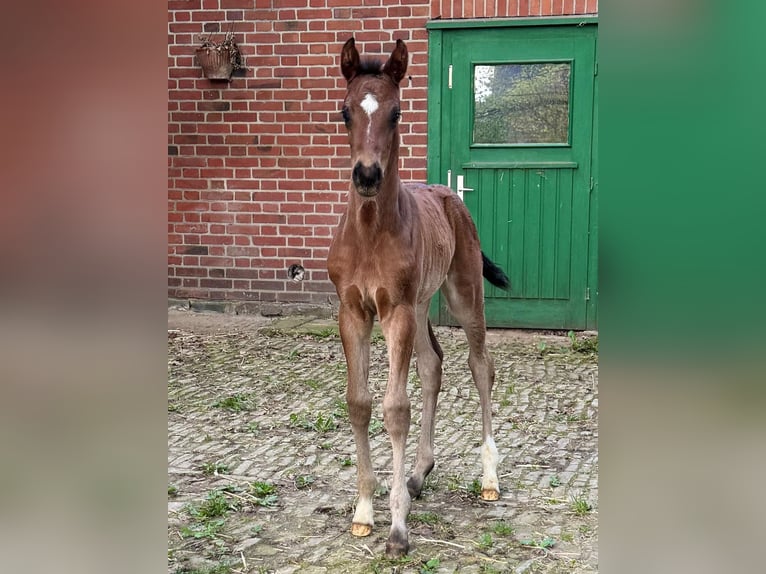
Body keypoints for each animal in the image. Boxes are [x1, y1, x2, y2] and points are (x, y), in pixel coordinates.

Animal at [326, 38, 510, 560]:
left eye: (396, 112)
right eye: (345, 111)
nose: (367, 175)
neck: (370, 233)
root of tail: (450, 193)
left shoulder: (397, 312)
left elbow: (395, 409)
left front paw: (397, 528)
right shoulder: (354, 312)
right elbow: (359, 402)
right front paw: (364, 513)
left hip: (462, 294)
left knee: (480, 365)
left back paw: (489, 477)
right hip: (425, 303)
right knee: (434, 365)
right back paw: (418, 473)